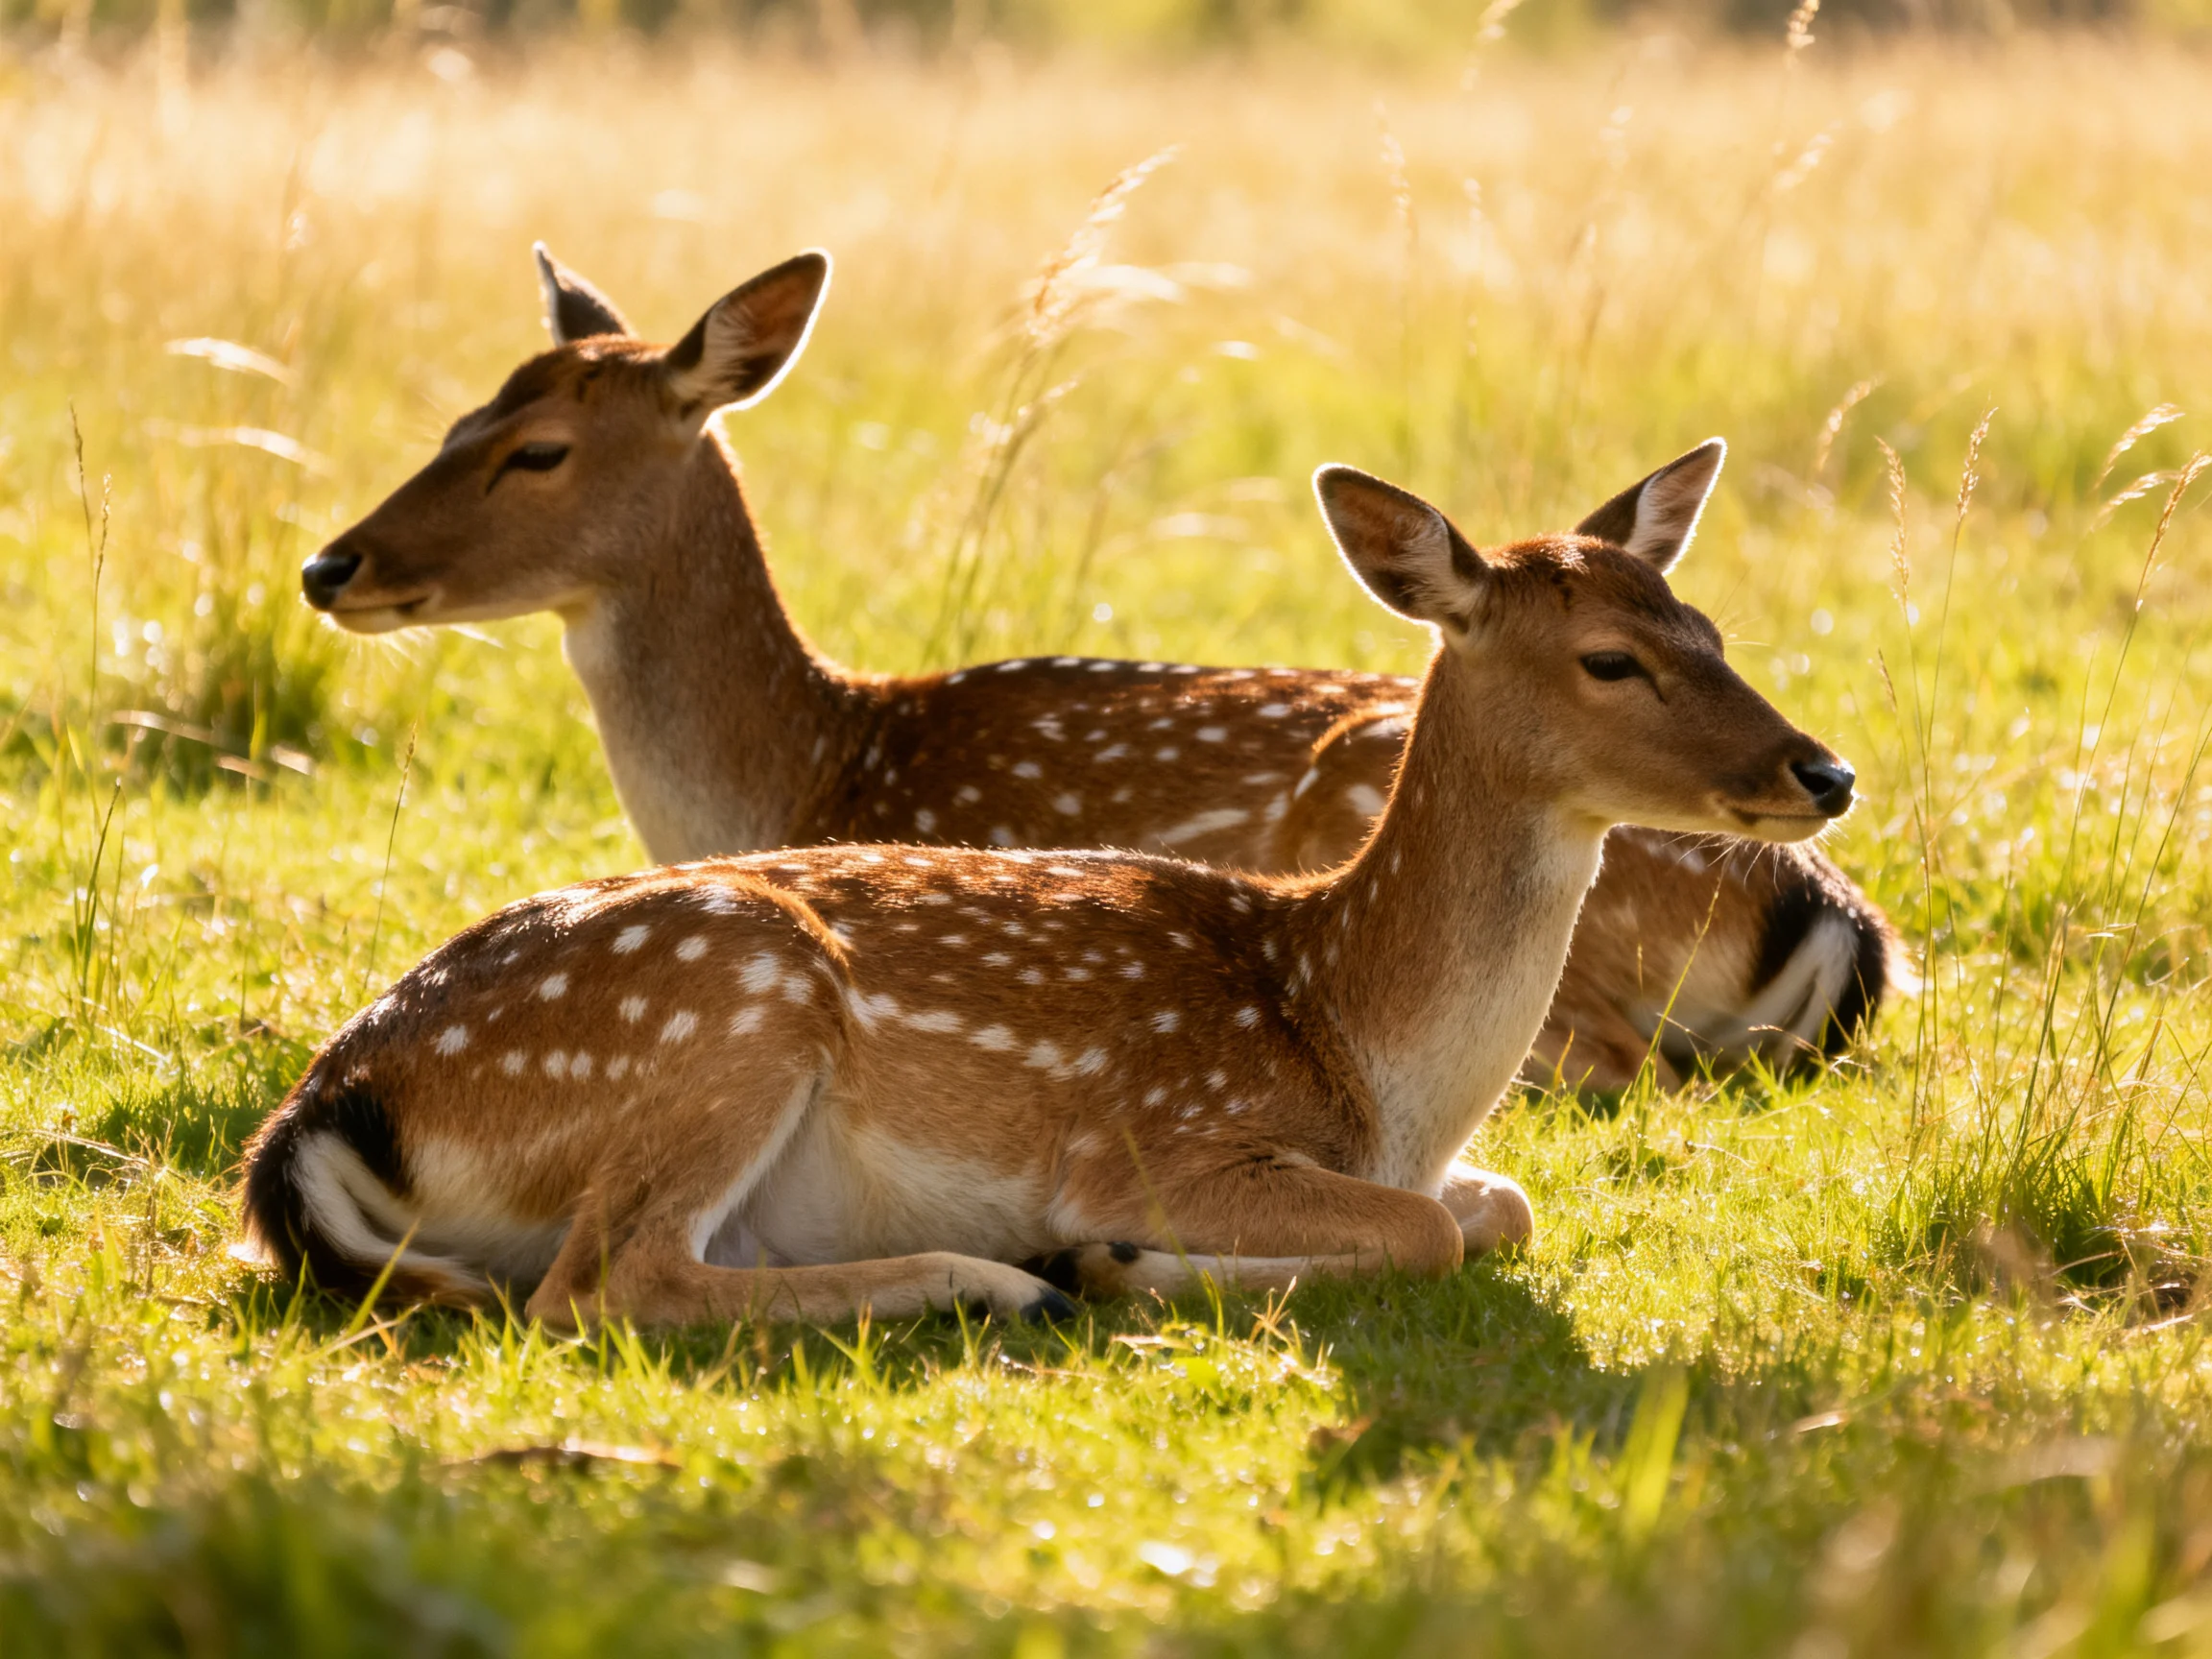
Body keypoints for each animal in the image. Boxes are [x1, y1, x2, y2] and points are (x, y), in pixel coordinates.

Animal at [245, 453, 1862, 1328]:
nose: (1826, 769)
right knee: (604, 1286)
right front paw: (1122, 1259)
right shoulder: (1165, 1132)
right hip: (729, 1007)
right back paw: (1001, 1279)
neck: (1373, 1059)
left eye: (1713, 628)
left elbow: (1503, 1205)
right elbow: (1433, 1234)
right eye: (1612, 658)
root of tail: (323, 1113)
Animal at [297, 246, 1894, 1092]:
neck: (813, 759)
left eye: (538, 451)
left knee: (1629, 1058)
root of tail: (1835, 922)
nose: (332, 566)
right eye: (458, 415)